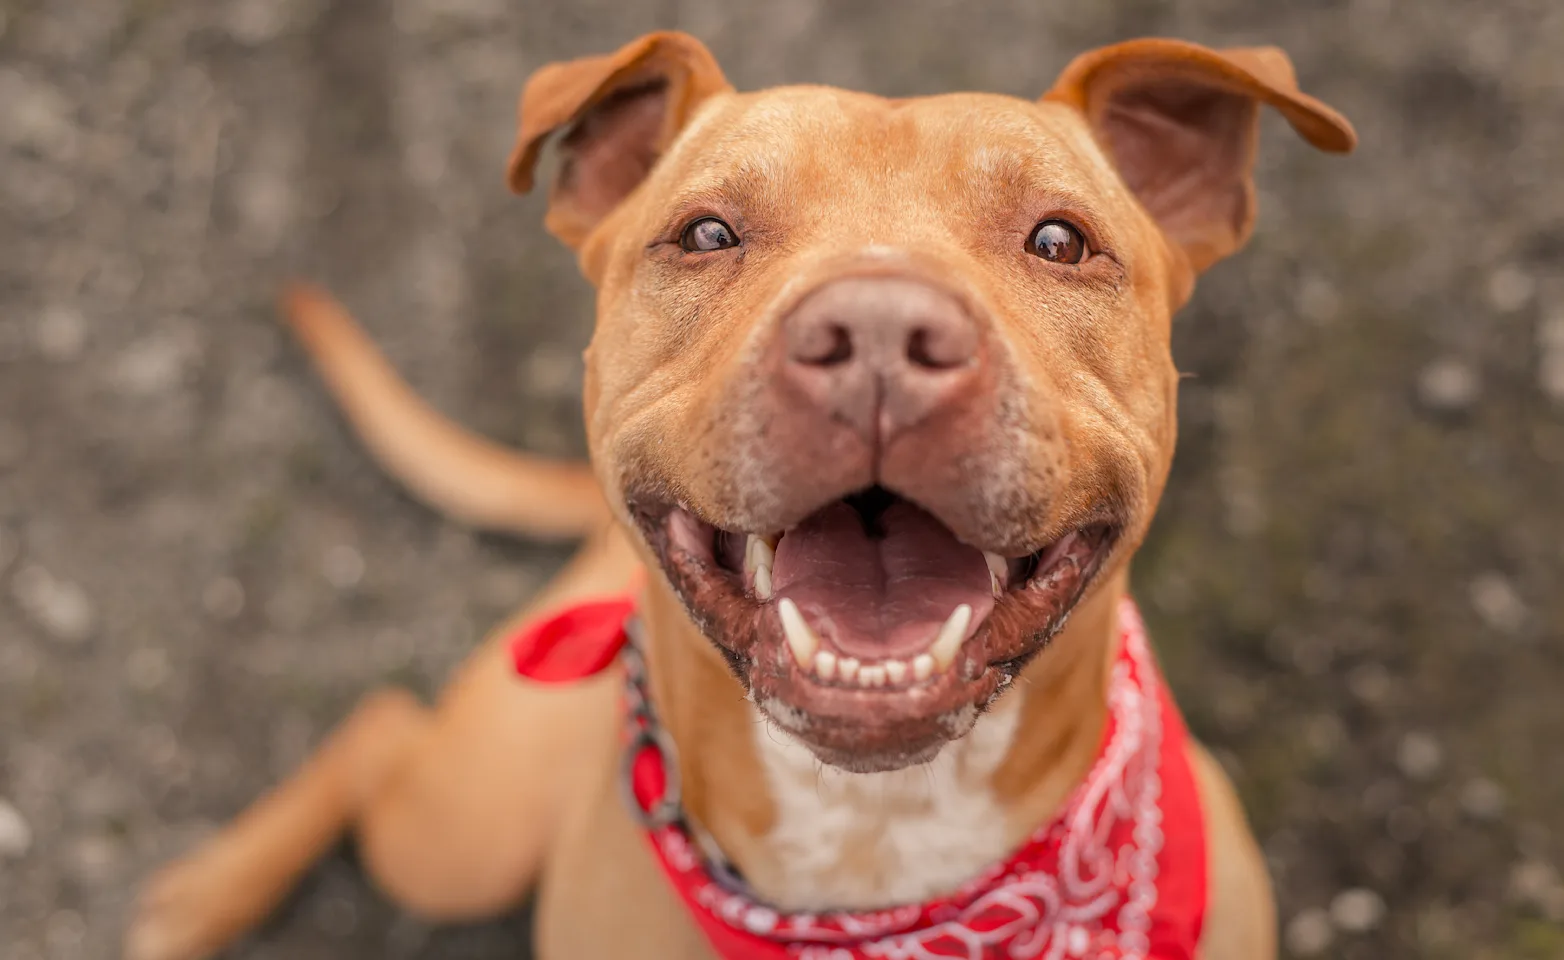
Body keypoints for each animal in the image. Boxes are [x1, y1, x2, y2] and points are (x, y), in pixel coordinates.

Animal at [125, 30, 1357, 960]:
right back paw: (204, 894)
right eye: (706, 232)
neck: (876, 838)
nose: (877, 337)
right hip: (464, 831)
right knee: (379, 728)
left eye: (1059, 240)